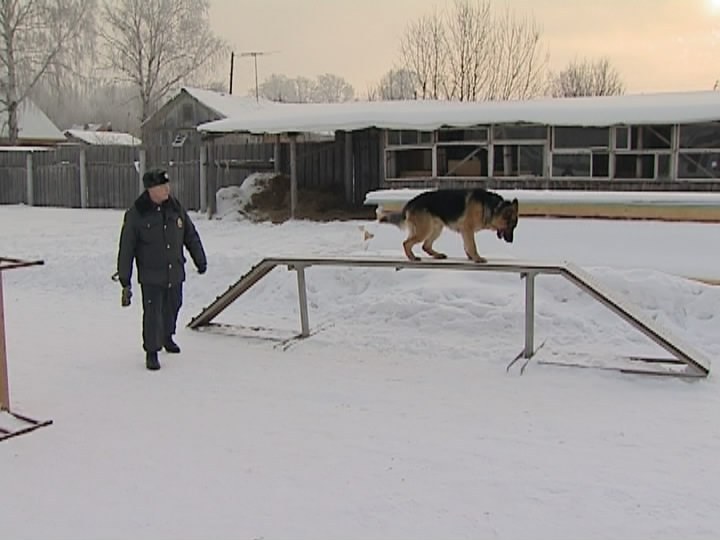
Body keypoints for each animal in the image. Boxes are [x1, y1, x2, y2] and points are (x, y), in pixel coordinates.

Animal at [376, 189, 516, 262]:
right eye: (511, 226)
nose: (511, 241)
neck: (494, 208)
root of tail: (409, 203)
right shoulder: (467, 229)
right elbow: (472, 245)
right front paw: (477, 258)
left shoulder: (465, 232)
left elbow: (467, 245)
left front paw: (471, 257)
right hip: (424, 230)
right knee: (406, 243)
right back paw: (412, 257)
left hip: (436, 229)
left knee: (425, 246)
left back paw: (437, 255)